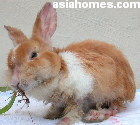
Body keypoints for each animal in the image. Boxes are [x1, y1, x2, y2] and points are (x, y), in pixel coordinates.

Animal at [5, 1, 136, 125]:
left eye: (33, 55)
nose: (14, 82)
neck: (58, 72)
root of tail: (132, 89)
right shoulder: (59, 102)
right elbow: (56, 108)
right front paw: (49, 116)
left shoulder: (81, 92)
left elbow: (75, 110)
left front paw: (63, 121)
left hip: (112, 92)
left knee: (116, 108)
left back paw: (95, 115)